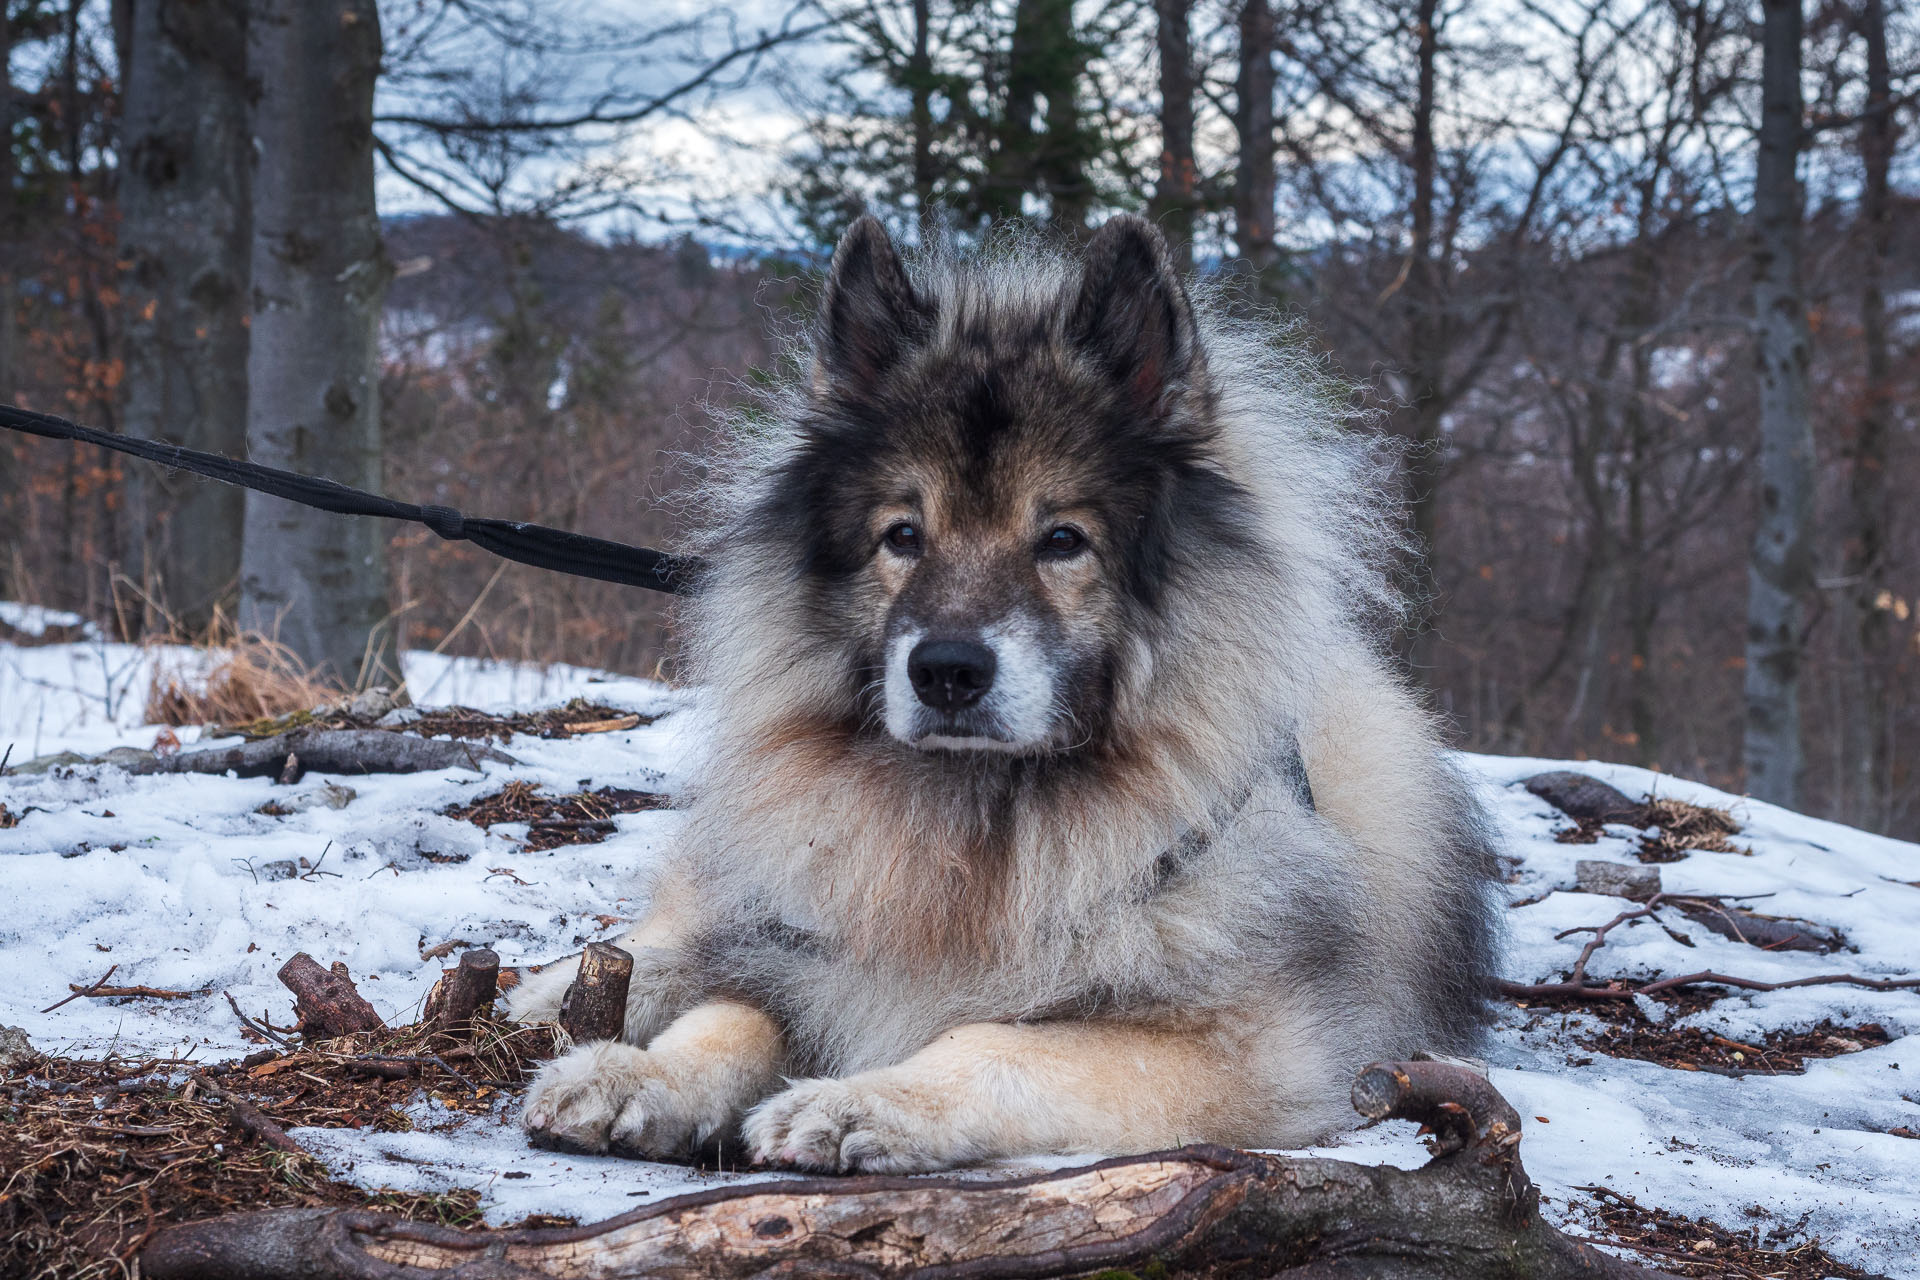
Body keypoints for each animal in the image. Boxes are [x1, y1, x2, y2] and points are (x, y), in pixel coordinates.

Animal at [510, 214, 1497, 1174]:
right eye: (902, 535)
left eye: (1062, 540)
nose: (945, 669)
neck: (980, 835)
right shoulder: (817, 945)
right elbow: (729, 1014)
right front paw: (637, 1074)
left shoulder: (1249, 1051)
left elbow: (994, 1042)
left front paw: (862, 1101)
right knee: (682, 929)